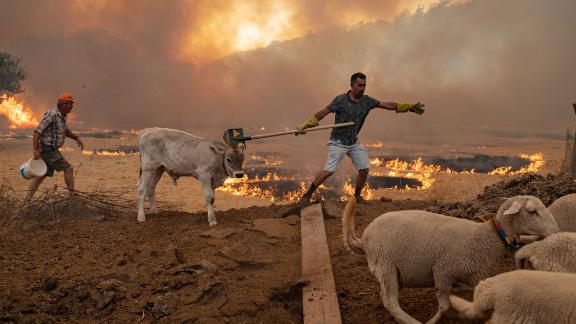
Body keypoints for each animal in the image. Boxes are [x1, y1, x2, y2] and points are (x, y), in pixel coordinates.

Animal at [342, 195, 560, 324]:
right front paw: (435, 320)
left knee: (387, 295)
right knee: (390, 301)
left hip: (391, 270)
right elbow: (445, 306)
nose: (556, 232)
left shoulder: (474, 274)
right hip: (385, 263)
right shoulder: (443, 271)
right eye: (532, 211)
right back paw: (412, 321)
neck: (487, 238)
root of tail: (364, 239)